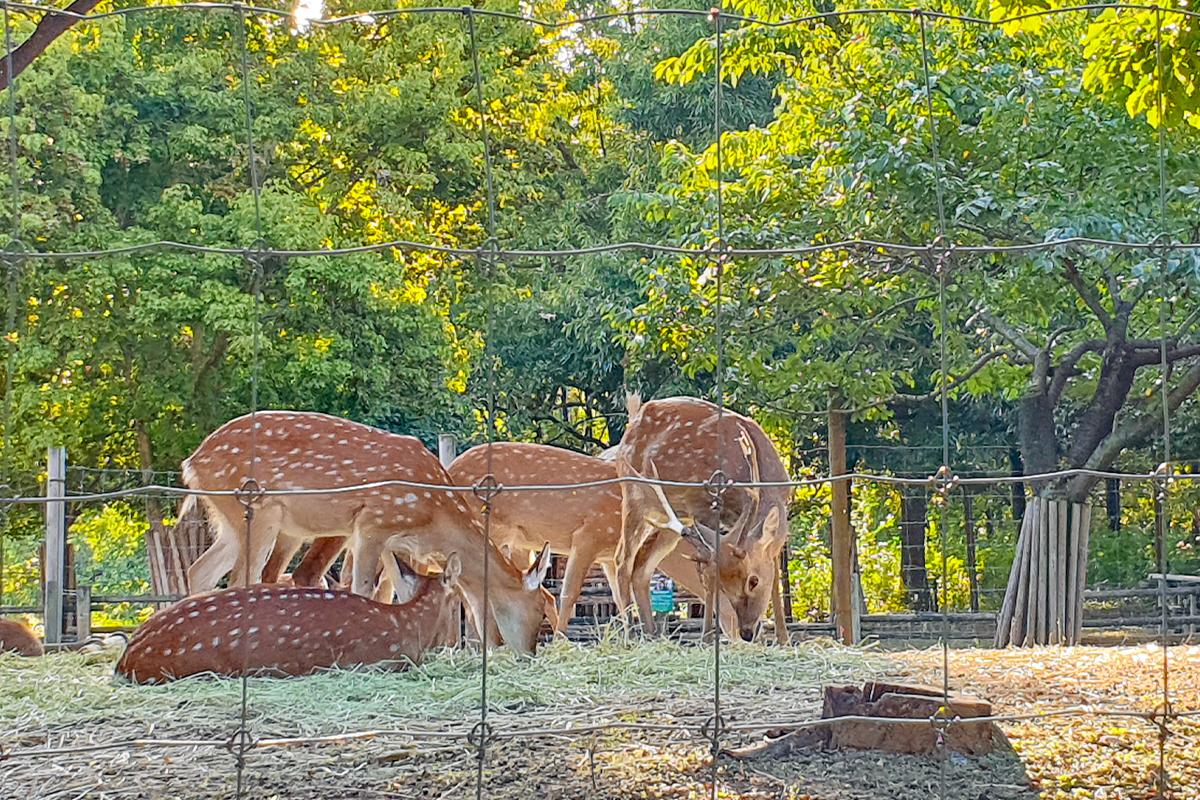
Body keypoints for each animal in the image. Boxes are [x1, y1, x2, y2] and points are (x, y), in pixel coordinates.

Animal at [180, 411, 553, 654]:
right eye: (539, 607)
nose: (526, 653)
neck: (434, 515)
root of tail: (191, 463)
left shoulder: (394, 540)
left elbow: (399, 590)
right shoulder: (372, 521)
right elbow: (361, 588)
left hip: (230, 521)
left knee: (199, 569)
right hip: (259, 511)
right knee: (241, 575)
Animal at [614, 395, 791, 643]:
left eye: (753, 580)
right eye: (724, 586)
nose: (747, 632)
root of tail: (634, 418)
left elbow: (775, 575)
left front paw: (784, 639)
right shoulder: (703, 508)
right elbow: (707, 575)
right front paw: (706, 637)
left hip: (668, 517)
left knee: (641, 567)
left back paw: (651, 633)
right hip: (634, 495)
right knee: (622, 559)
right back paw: (630, 633)